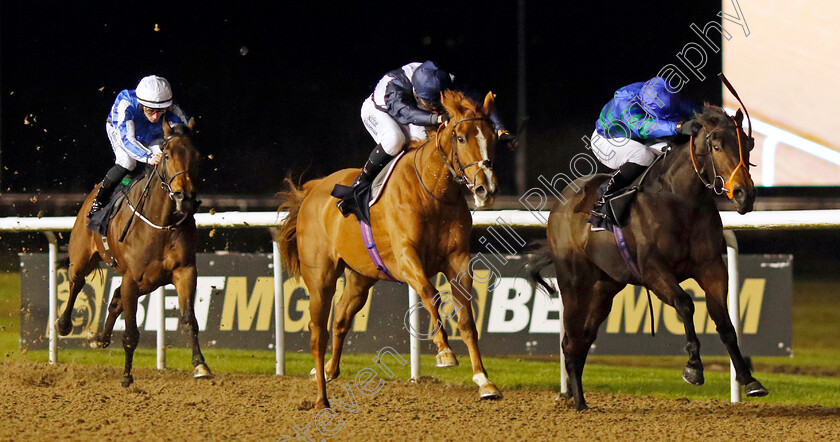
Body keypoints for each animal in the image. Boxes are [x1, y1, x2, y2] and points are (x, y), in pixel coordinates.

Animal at [56, 120, 210, 386]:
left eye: (198, 157)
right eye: (167, 156)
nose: (185, 196)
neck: (161, 223)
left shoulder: (184, 270)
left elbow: (189, 320)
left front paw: (200, 365)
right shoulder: (132, 279)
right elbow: (130, 333)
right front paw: (127, 376)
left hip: (151, 281)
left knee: (115, 297)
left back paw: (101, 338)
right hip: (83, 257)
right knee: (77, 282)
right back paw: (64, 325)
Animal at [276, 90, 502, 410]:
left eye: (493, 138)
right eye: (461, 138)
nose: (486, 188)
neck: (432, 191)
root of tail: (313, 190)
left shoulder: (457, 259)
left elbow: (466, 317)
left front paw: (484, 381)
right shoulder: (406, 258)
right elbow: (431, 295)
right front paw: (444, 352)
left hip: (360, 277)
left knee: (341, 317)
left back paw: (331, 370)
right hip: (320, 277)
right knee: (317, 331)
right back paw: (321, 398)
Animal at [528, 105, 772, 410]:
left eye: (749, 145)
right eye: (716, 146)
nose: (744, 194)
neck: (681, 202)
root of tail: (560, 204)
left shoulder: (712, 267)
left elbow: (724, 322)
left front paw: (749, 379)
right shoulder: (653, 270)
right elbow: (685, 303)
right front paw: (694, 367)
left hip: (605, 288)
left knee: (584, 338)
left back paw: (578, 397)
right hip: (573, 282)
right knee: (570, 341)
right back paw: (579, 403)